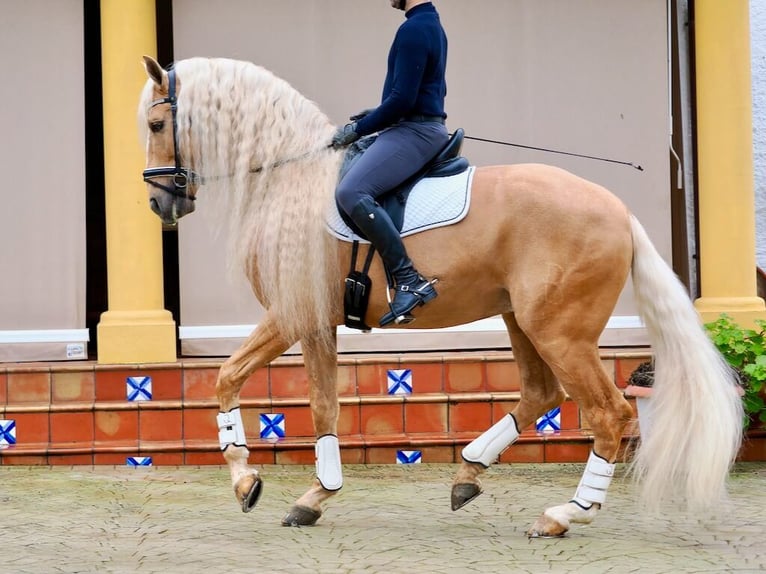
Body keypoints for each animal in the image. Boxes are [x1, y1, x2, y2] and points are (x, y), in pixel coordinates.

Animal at [138, 56, 744, 536]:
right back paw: (469, 472)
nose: (160, 205)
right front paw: (314, 497)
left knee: (608, 413)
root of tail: (619, 212)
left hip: (560, 333)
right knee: (541, 393)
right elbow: (322, 405)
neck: (291, 180)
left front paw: (248, 482)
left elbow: (229, 379)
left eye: (156, 122)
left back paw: (563, 514)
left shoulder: (291, 315)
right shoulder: (316, 322)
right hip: (523, 321)